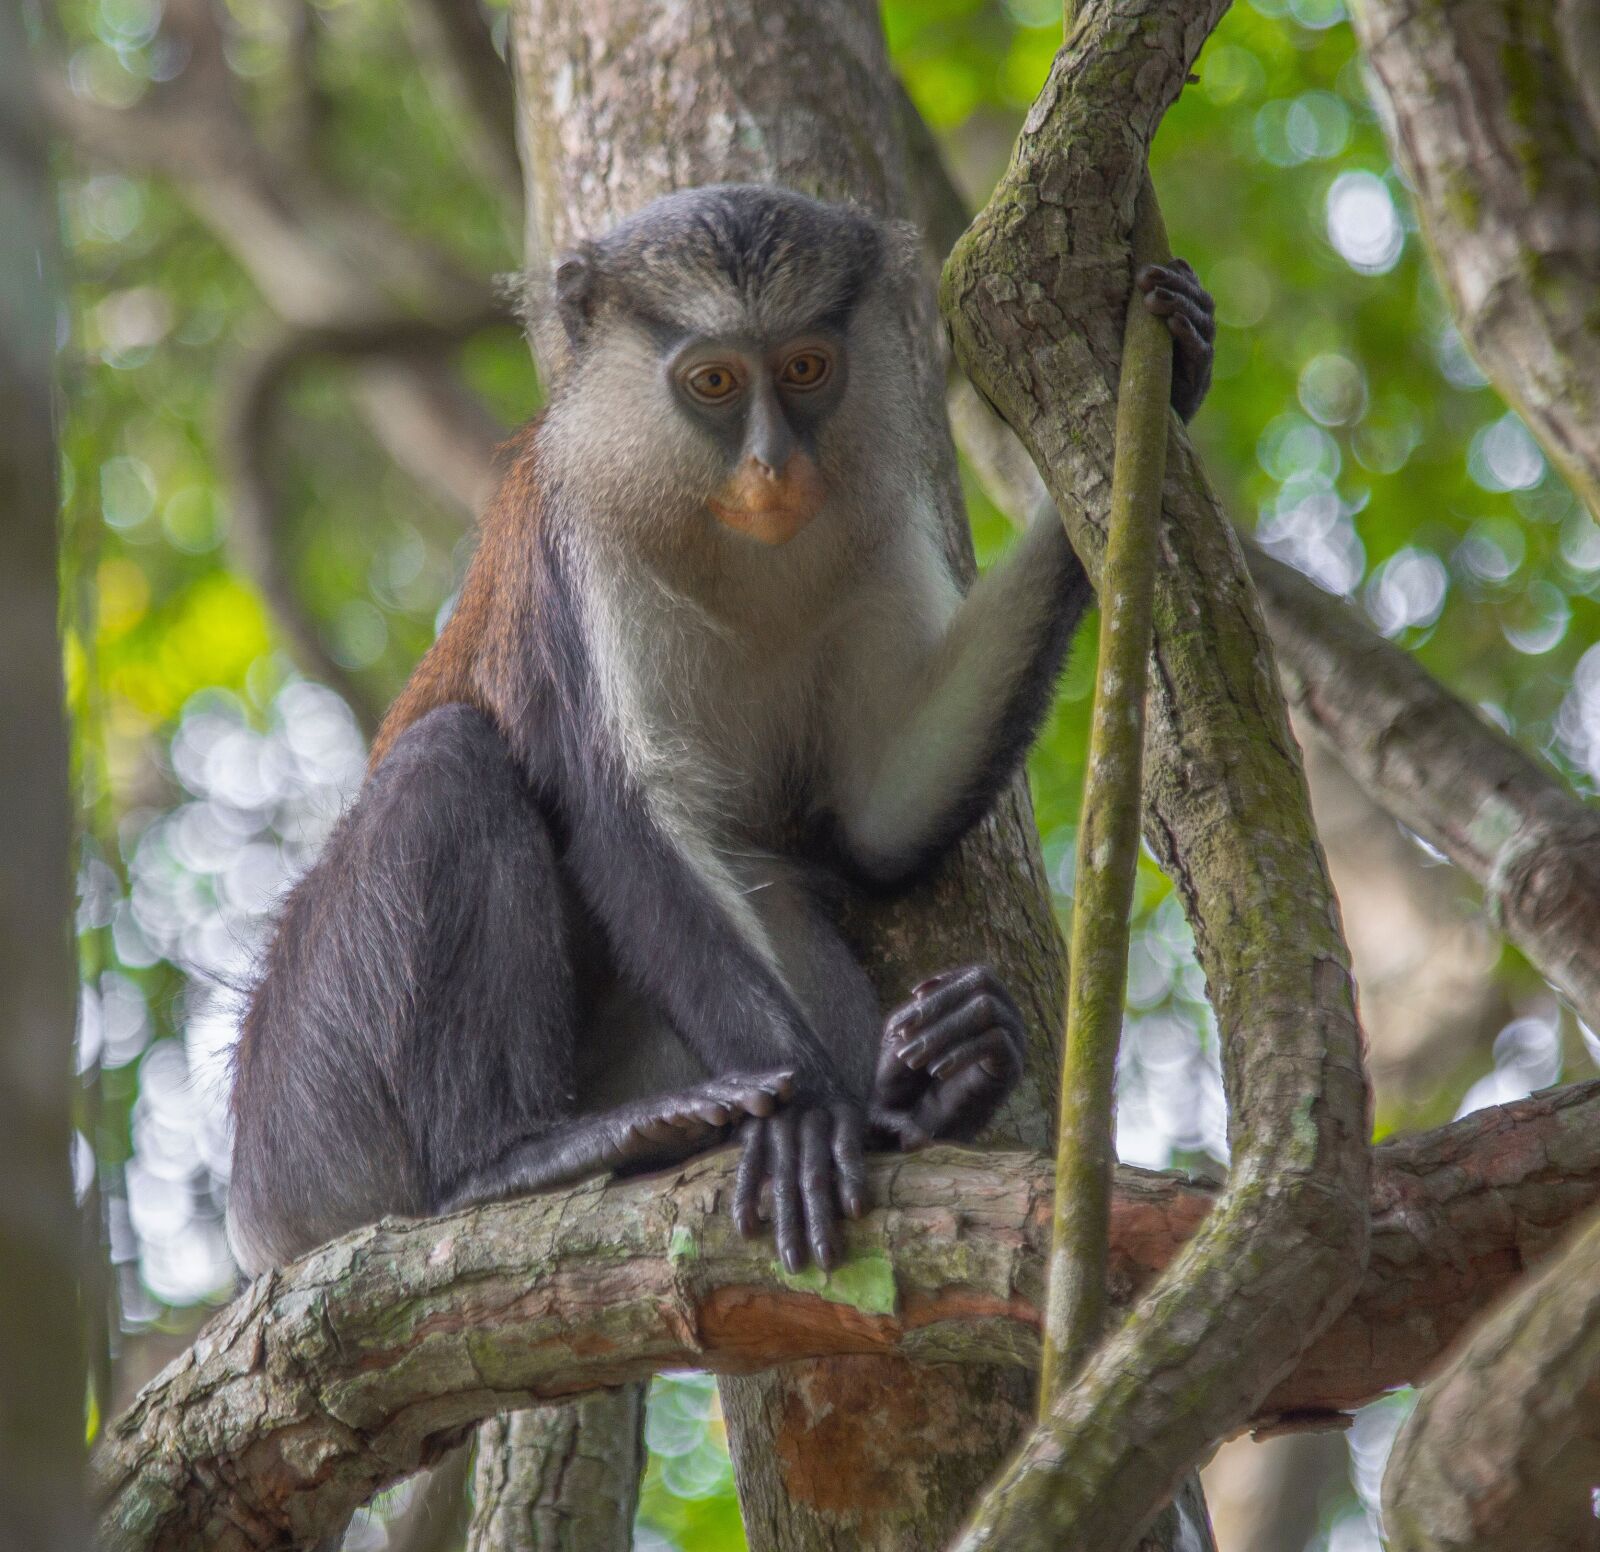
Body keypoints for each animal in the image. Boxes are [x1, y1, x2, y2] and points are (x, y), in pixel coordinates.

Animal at [226, 185, 1215, 1277]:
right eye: (712, 382)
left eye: (805, 370)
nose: (771, 467)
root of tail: (257, 1216)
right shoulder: (579, 552)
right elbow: (626, 819)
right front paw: (806, 1115)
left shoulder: (878, 534)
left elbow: (876, 818)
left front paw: (1159, 391)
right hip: (316, 1106)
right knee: (449, 763)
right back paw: (506, 1159)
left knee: (768, 880)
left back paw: (929, 1087)